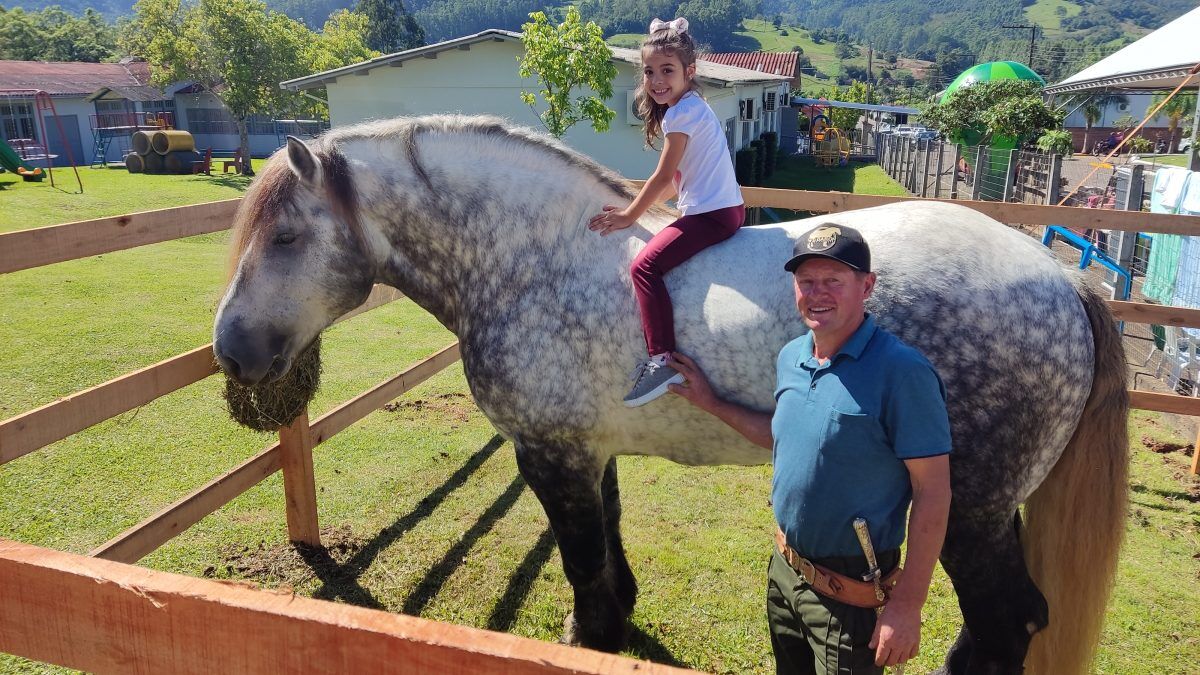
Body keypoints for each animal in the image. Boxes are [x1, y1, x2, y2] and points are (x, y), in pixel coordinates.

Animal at [213, 117, 1123, 672]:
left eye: (285, 235)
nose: (231, 349)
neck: (537, 258)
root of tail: (1061, 280)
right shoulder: (588, 450)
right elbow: (608, 545)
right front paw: (617, 616)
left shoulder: (551, 457)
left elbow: (582, 563)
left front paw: (593, 636)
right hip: (992, 509)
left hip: (966, 509)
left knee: (1007, 622)